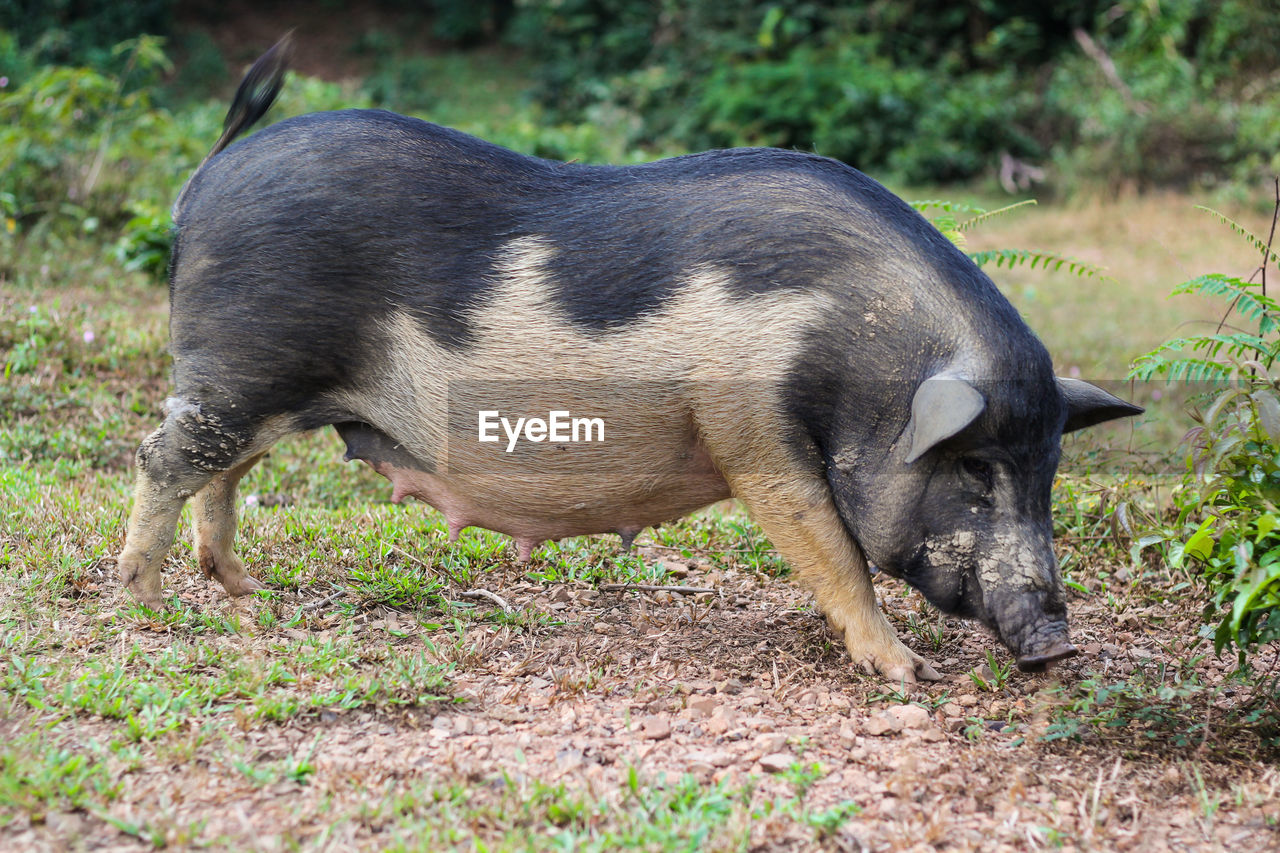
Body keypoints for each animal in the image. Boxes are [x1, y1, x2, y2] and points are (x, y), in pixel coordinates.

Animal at [117, 36, 1141, 681]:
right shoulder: (750, 429)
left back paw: (244, 589)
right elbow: (828, 544)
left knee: (221, 469)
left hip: (262, 385)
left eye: (1047, 470)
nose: (1056, 641)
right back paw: (145, 603)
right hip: (241, 364)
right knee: (164, 457)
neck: (855, 345)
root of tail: (205, 178)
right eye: (972, 469)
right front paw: (912, 672)